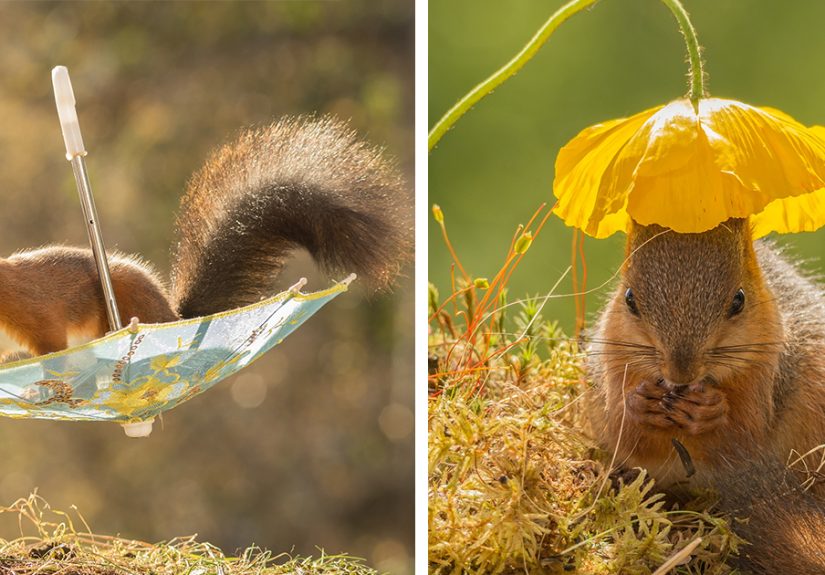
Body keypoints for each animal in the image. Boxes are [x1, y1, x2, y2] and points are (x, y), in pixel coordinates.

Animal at [585, 217, 825, 573]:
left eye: (739, 300)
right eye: (629, 299)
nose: (680, 373)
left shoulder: (768, 376)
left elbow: (743, 434)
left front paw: (708, 411)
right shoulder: (613, 366)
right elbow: (623, 433)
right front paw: (638, 405)